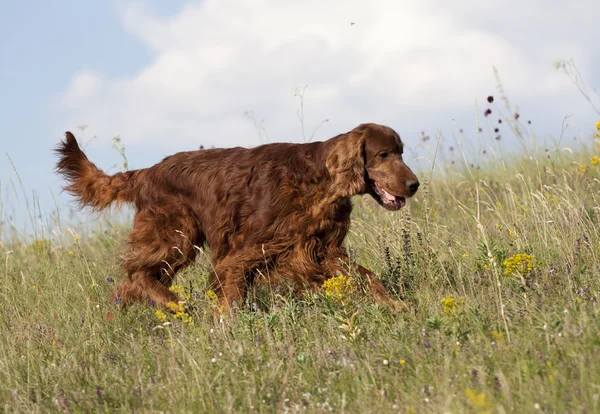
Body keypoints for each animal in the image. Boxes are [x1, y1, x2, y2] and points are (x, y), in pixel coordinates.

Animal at [57, 123, 418, 310]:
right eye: (383, 154)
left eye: (401, 152)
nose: (414, 185)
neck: (318, 179)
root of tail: (146, 172)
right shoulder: (243, 251)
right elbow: (231, 296)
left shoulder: (322, 250)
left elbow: (368, 276)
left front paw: (396, 307)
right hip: (176, 235)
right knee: (139, 274)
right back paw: (176, 303)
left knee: (129, 283)